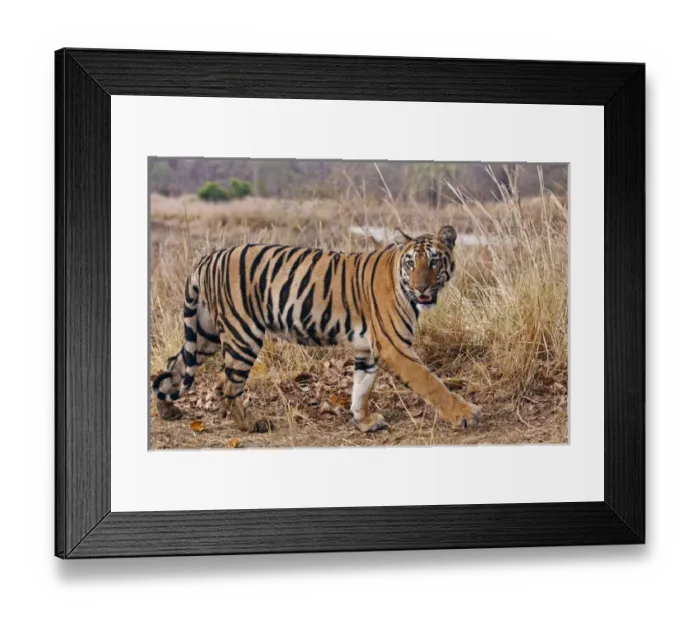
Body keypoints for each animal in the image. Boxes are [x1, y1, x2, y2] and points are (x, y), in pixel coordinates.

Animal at [152, 224, 483, 433]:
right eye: (412, 264)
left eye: (435, 262)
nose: (422, 288)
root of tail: (208, 258)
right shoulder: (395, 347)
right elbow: (432, 384)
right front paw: (466, 414)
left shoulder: (367, 350)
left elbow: (362, 387)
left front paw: (363, 422)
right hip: (242, 334)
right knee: (227, 387)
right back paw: (251, 425)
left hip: (205, 334)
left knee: (172, 366)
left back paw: (167, 410)